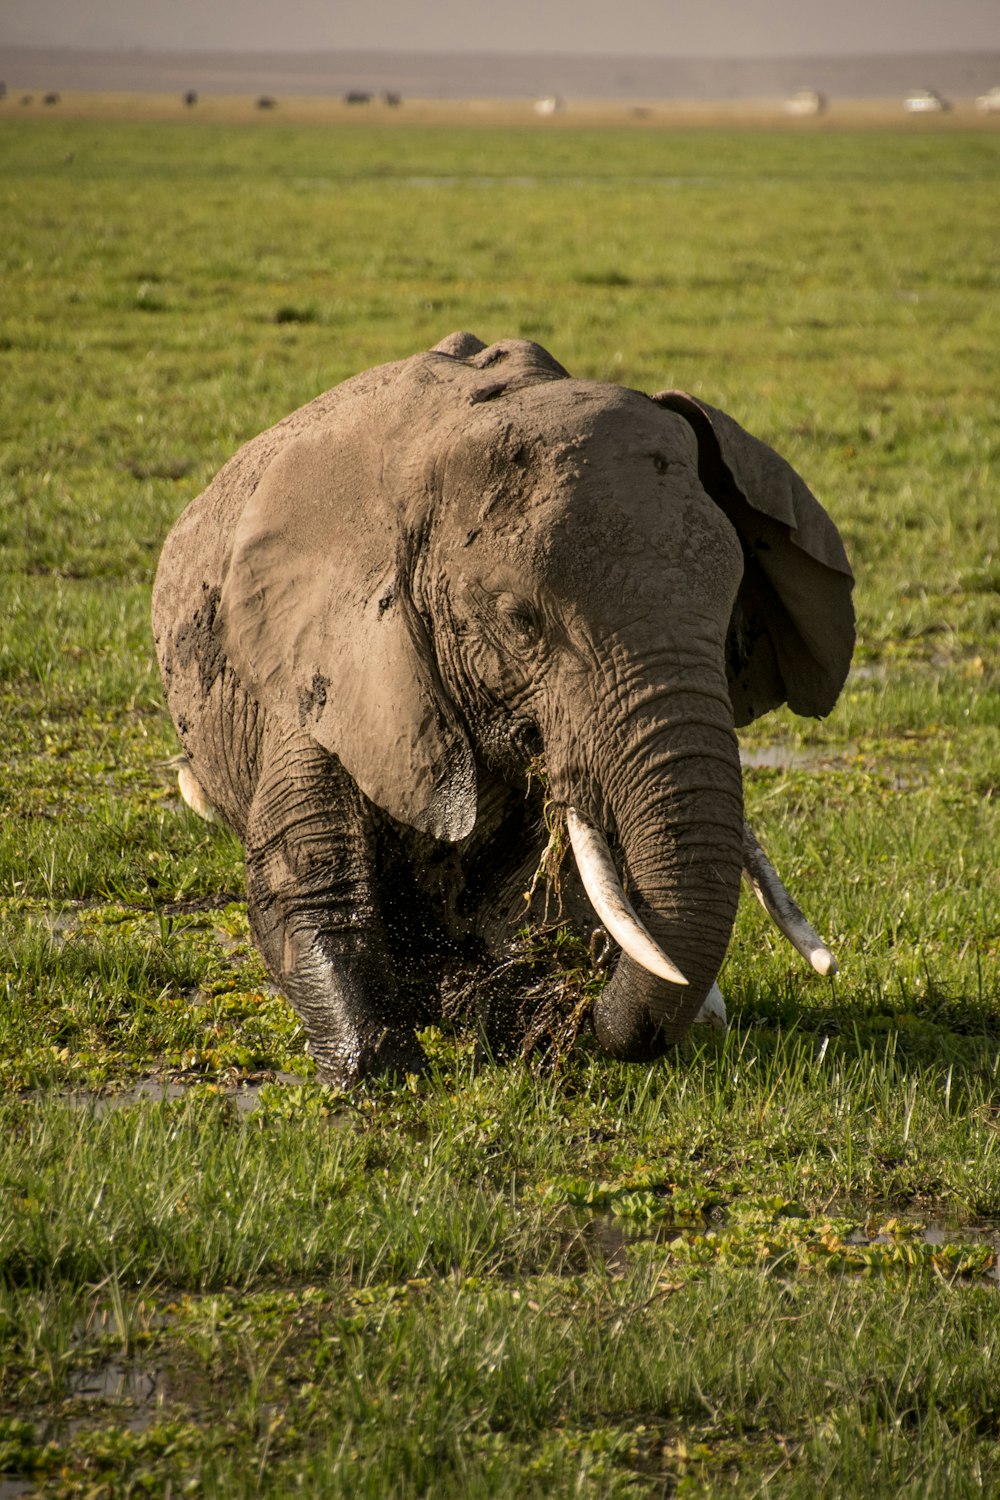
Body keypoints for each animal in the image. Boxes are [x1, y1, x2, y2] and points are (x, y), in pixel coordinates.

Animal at [152, 328, 857, 1086]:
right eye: (521, 623)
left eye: (732, 618)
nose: (592, 1011)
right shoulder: (326, 667)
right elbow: (304, 880)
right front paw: (384, 1076)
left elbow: (524, 894)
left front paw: (518, 1033)